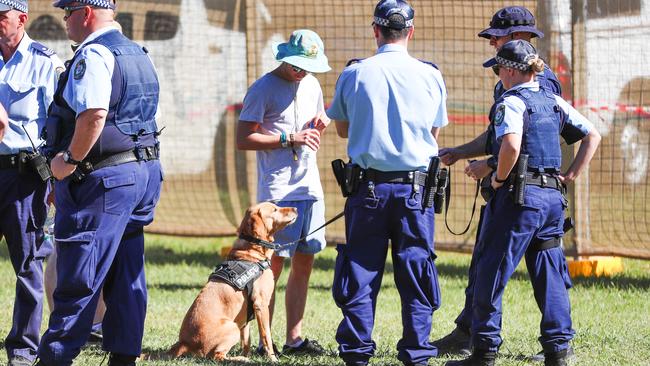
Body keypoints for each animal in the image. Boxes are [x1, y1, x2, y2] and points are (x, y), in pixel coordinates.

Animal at [168, 202, 298, 362]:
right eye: (275, 209)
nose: (296, 209)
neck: (252, 251)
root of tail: (184, 343)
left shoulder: (247, 315)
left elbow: (246, 342)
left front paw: (248, 354)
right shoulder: (261, 304)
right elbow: (266, 336)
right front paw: (273, 359)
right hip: (232, 326)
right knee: (217, 356)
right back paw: (240, 360)